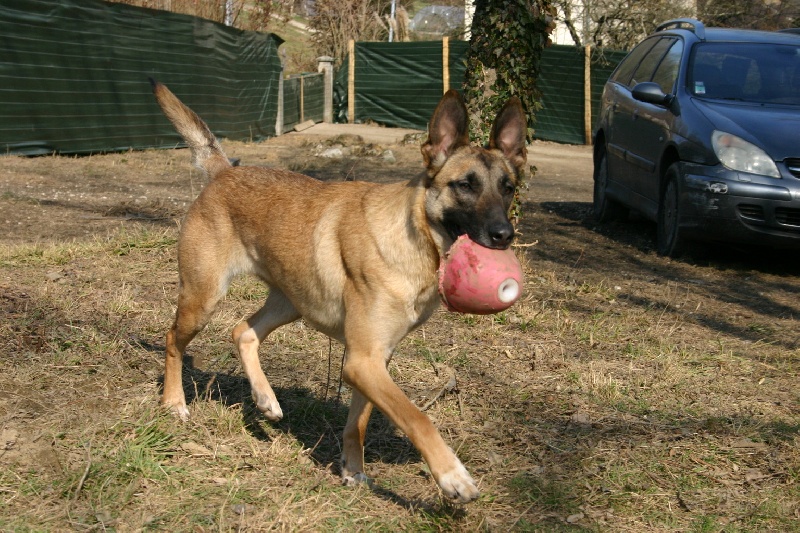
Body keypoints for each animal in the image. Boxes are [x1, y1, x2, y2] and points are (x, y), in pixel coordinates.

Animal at [153, 81, 528, 500]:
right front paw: (452, 475)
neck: (415, 240)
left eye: (508, 188)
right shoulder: (363, 362)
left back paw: (265, 398)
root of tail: (223, 172)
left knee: (242, 331)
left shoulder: (374, 360)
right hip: (203, 298)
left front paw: (352, 470)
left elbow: (357, 423)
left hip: (290, 303)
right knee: (173, 340)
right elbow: (417, 417)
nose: (504, 235)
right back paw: (174, 403)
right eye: (465, 185)